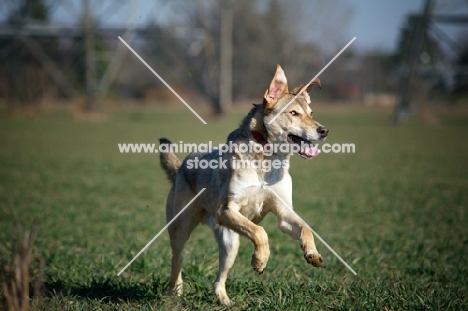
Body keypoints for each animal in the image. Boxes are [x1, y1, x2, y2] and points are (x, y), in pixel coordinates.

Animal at [159, 64, 328, 308]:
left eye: (311, 114)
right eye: (294, 113)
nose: (324, 131)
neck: (266, 161)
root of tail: (182, 165)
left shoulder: (284, 212)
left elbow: (305, 229)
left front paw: (312, 254)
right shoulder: (226, 210)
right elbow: (260, 232)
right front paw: (260, 260)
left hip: (230, 243)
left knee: (218, 279)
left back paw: (224, 300)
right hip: (181, 228)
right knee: (177, 259)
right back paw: (176, 292)